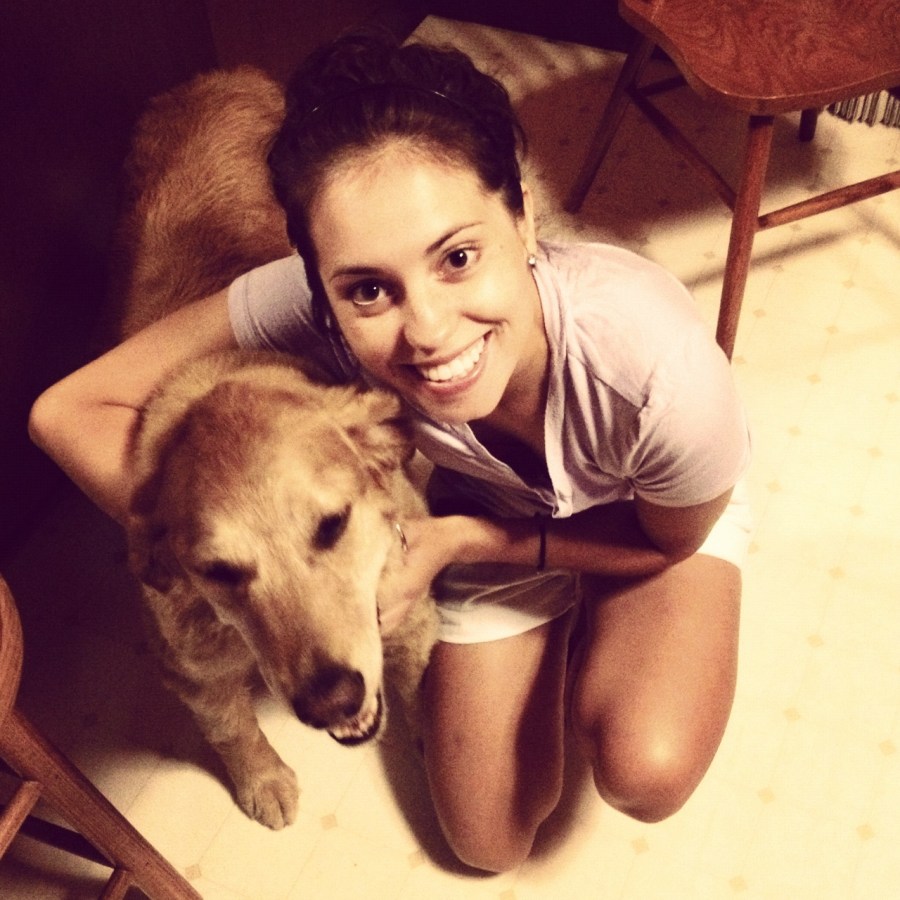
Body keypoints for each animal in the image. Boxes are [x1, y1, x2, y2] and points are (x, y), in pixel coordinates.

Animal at [115, 68, 438, 830]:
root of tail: (209, 77)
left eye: (333, 524)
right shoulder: (188, 665)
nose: (330, 701)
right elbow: (231, 726)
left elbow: (419, 692)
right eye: (220, 571)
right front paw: (261, 780)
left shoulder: (411, 610)